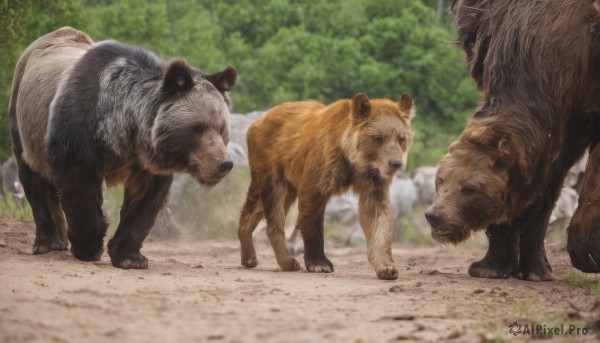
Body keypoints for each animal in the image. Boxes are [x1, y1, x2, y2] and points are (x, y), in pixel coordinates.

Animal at [9, 27, 237, 268]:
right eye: (198, 127)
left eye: (221, 128)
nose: (224, 163)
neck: (124, 129)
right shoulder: (78, 136)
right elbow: (79, 189)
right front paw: (89, 247)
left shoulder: (144, 162)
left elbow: (143, 202)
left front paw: (129, 256)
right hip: (25, 126)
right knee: (33, 180)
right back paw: (48, 242)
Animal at [424, 0, 600, 282]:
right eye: (440, 181)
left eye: (468, 189)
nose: (435, 215)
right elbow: (537, 185)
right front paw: (493, 266)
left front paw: (585, 251)